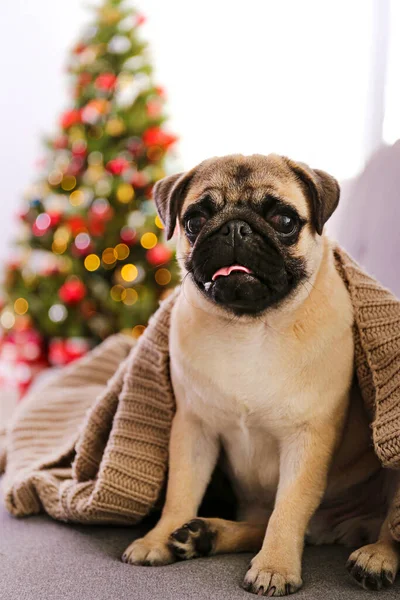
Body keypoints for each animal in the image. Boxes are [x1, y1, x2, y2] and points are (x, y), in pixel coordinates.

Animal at [123, 155, 398, 596]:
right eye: (195, 221)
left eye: (284, 220)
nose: (236, 227)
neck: (251, 328)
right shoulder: (193, 430)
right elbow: (181, 491)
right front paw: (158, 539)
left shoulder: (308, 438)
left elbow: (290, 508)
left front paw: (275, 567)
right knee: (261, 522)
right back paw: (205, 534)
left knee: (387, 524)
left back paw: (376, 557)